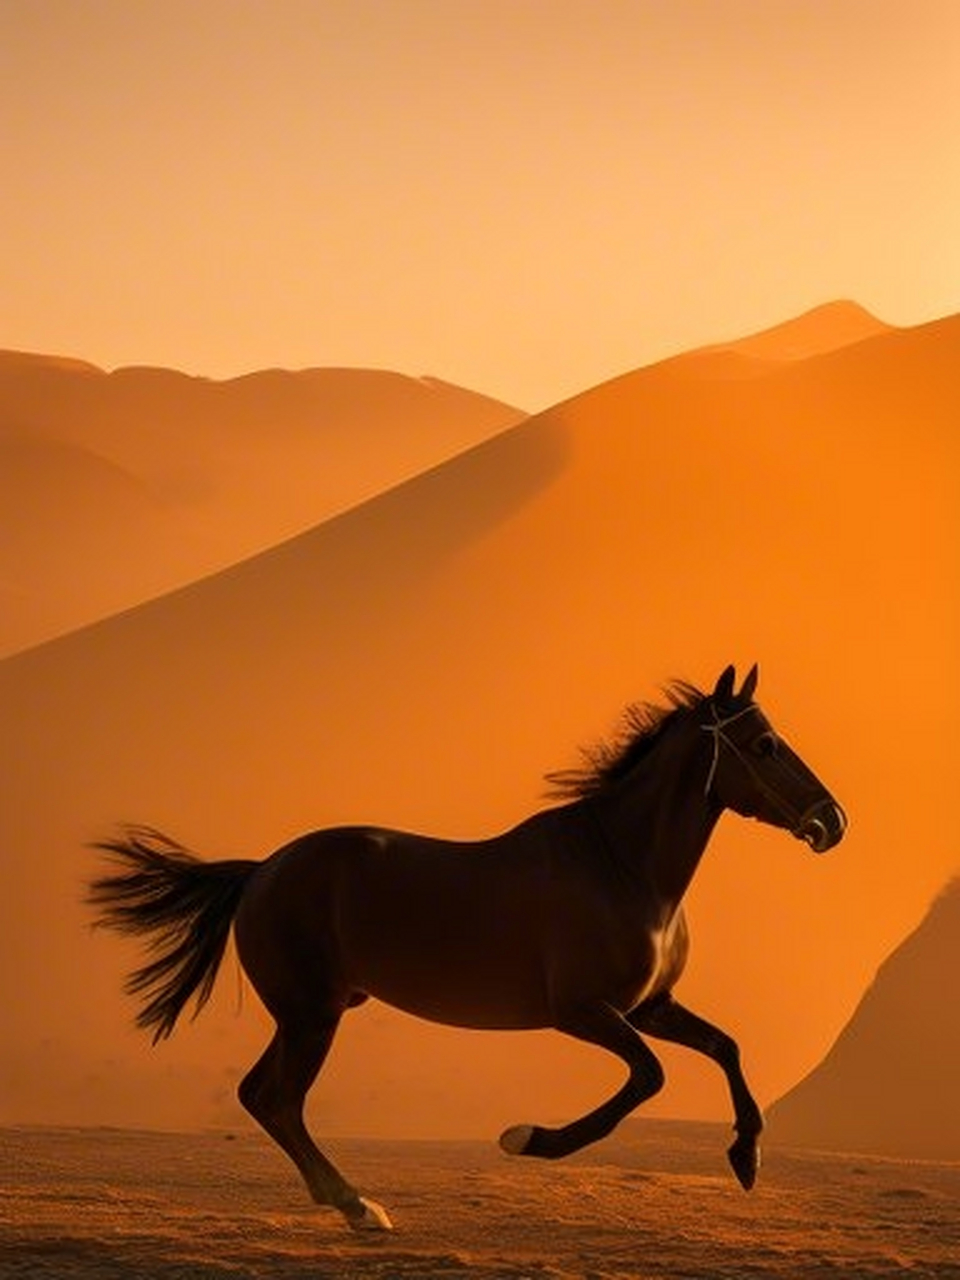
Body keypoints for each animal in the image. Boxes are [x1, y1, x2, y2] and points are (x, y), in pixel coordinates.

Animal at [88, 664, 846, 1231]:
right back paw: (359, 1207)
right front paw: (529, 1139)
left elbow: (726, 1047)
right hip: (311, 1016)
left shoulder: (650, 1005)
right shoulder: (584, 1012)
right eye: (765, 744)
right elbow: (649, 1077)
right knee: (278, 1100)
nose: (831, 821)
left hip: (312, 1014)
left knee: (260, 1095)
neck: (621, 866)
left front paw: (745, 1159)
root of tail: (260, 871)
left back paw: (348, 1203)